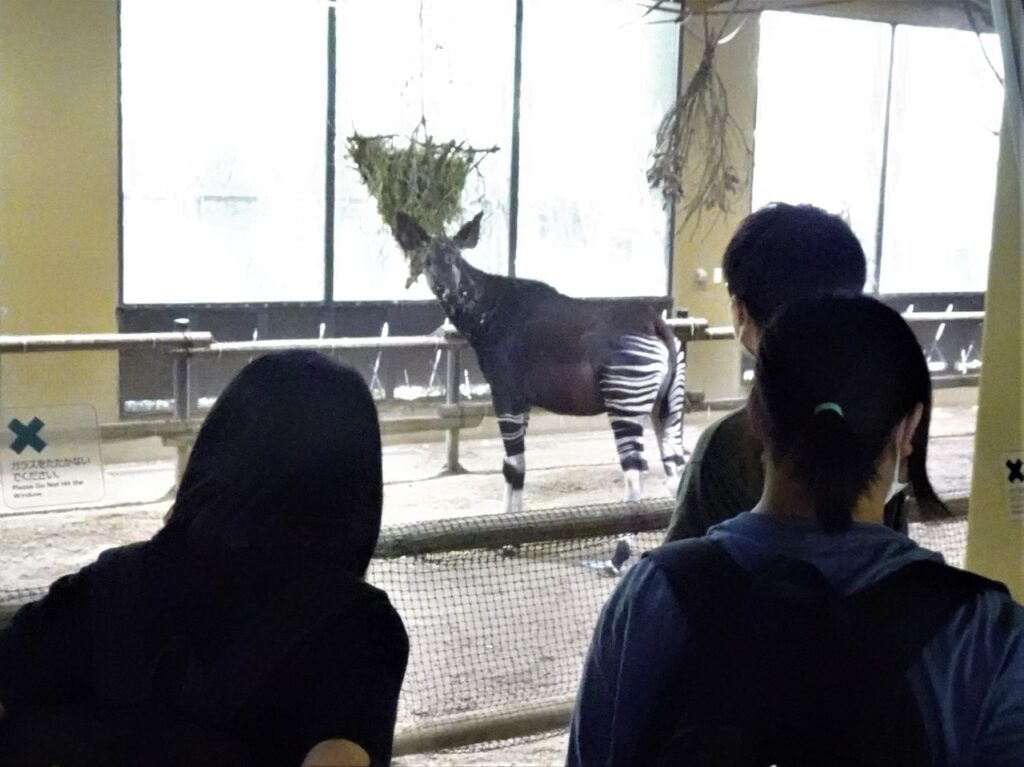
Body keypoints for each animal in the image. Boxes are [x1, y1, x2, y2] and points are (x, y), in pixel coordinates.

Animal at [393, 211, 686, 513]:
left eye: (455, 259)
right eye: (428, 261)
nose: (448, 290)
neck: (489, 312)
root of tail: (655, 322)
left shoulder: (505, 394)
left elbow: (514, 465)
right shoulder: (523, 403)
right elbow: (512, 469)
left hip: (624, 398)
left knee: (635, 472)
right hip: (667, 406)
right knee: (675, 468)